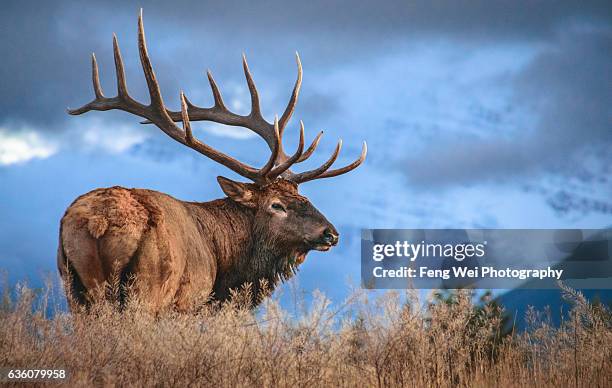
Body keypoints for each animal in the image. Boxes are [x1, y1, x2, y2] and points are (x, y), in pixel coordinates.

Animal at [57, 12, 366, 314]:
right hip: (147, 288)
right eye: (276, 205)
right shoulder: (188, 302)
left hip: (73, 288)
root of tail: (99, 222)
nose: (330, 233)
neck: (225, 267)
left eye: (305, 198)